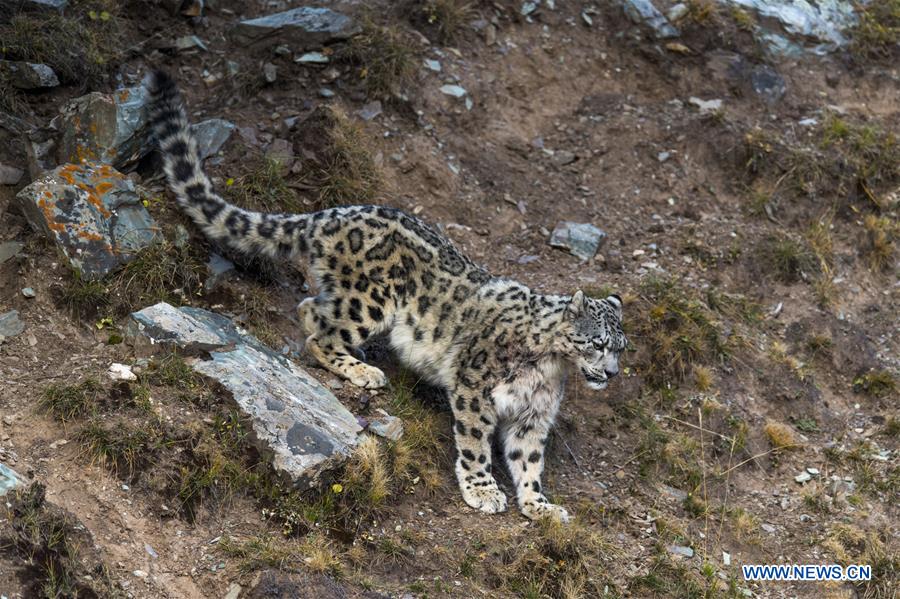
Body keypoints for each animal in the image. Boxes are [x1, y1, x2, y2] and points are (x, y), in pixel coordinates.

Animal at [145, 71, 627, 522]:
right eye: (597, 344)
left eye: (621, 347)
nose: (612, 373)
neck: (549, 367)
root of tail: (327, 214)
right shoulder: (475, 388)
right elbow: (475, 441)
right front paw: (483, 490)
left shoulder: (533, 416)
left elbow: (528, 461)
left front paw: (540, 505)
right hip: (370, 300)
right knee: (320, 331)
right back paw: (363, 371)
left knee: (311, 308)